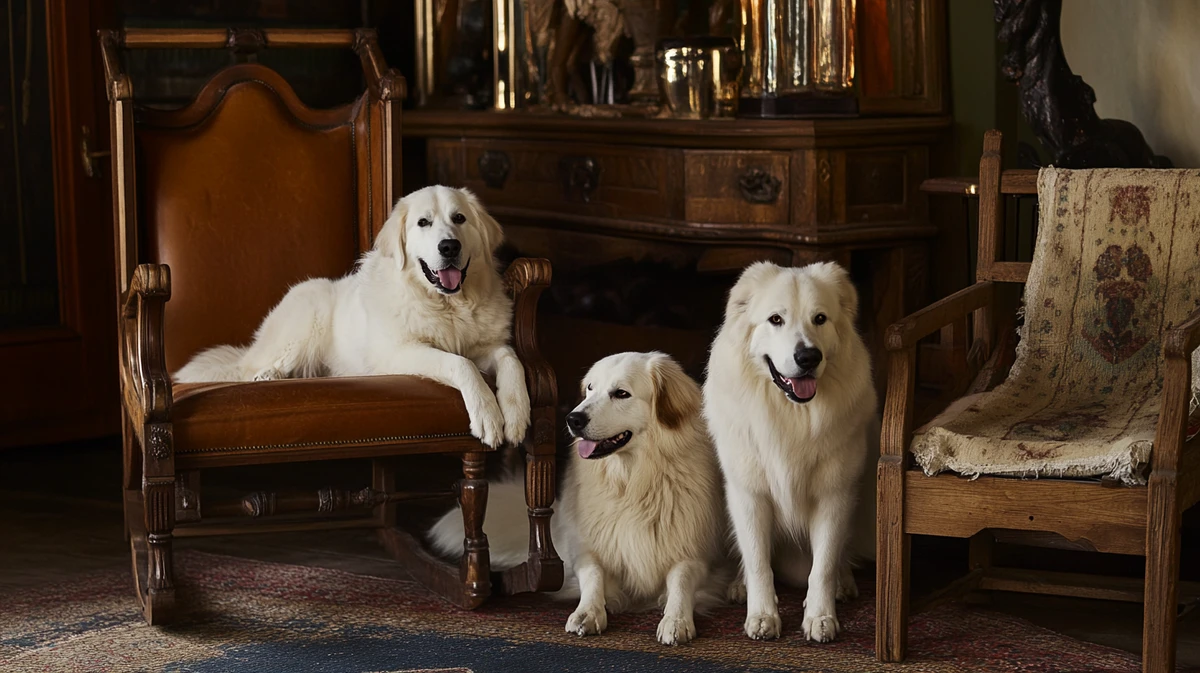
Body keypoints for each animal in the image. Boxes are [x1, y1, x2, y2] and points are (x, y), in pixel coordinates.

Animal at [175, 183, 530, 448]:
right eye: (423, 223)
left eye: (459, 218)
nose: (449, 247)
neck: (447, 306)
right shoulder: (400, 354)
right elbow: (460, 364)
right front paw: (487, 414)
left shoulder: (486, 345)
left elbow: (511, 358)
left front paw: (516, 413)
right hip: (307, 315)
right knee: (252, 368)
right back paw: (268, 376)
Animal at [432, 352, 729, 647]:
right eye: (590, 389)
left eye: (621, 393)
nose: (572, 419)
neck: (633, 480)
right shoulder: (588, 549)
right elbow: (593, 575)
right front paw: (588, 612)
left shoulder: (695, 554)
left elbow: (681, 581)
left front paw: (675, 620)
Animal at [700, 260, 883, 643]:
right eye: (776, 319)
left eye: (820, 318)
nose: (808, 357)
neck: (792, 416)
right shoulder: (749, 496)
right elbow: (757, 562)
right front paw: (762, 616)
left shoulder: (835, 496)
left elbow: (823, 565)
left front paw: (820, 617)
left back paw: (843, 583)